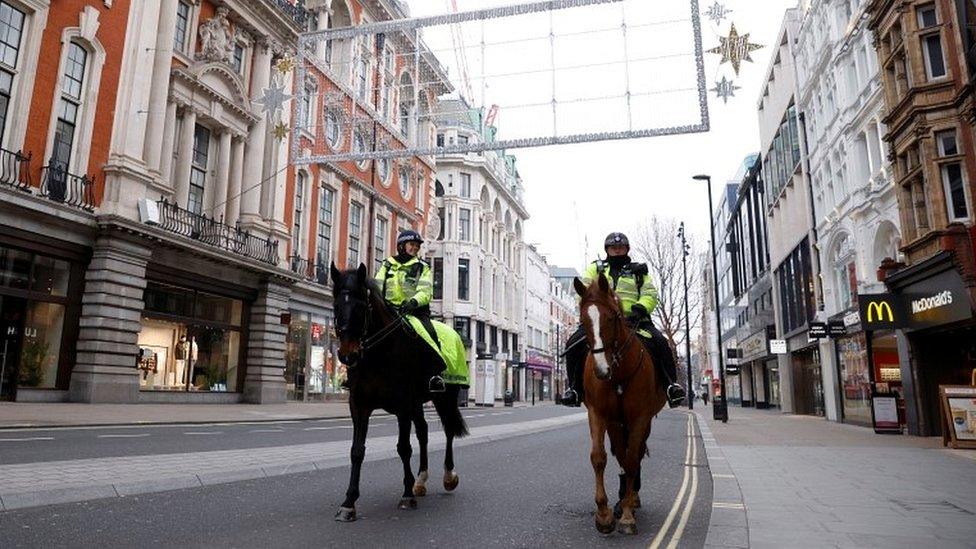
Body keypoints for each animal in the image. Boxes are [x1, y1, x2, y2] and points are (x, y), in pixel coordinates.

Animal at [576, 272, 668, 532]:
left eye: (611, 317)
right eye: (583, 319)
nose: (600, 370)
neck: (618, 374)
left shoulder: (639, 417)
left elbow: (631, 459)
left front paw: (626, 514)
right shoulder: (599, 414)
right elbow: (599, 457)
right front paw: (604, 514)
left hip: (643, 421)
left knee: (634, 455)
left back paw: (632, 498)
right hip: (616, 422)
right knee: (620, 452)